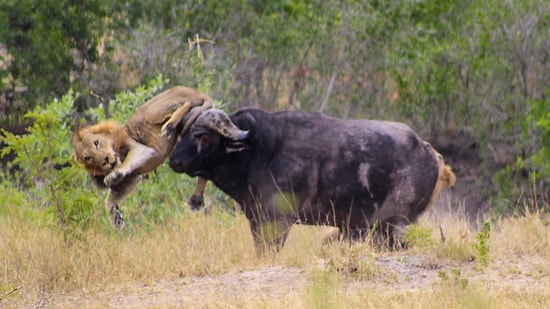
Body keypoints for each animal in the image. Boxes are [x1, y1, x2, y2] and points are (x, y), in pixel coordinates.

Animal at [73, 85, 211, 227]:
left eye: (96, 143)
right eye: (88, 158)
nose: (105, 160)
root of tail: (197, 92)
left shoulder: (141, 149)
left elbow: (124, 166)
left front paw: (112, 176)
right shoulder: (132, 178)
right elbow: (110, 199)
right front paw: (115, 218)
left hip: (152, 111)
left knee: (186, 104)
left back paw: (169, 126)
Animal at [169, 108, 458, 253]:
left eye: (204, 136)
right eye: (184, 132)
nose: (174, 161)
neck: (258, 154)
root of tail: (430, 153)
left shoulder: (279, 222)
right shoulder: (257, 220)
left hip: (393, 225)